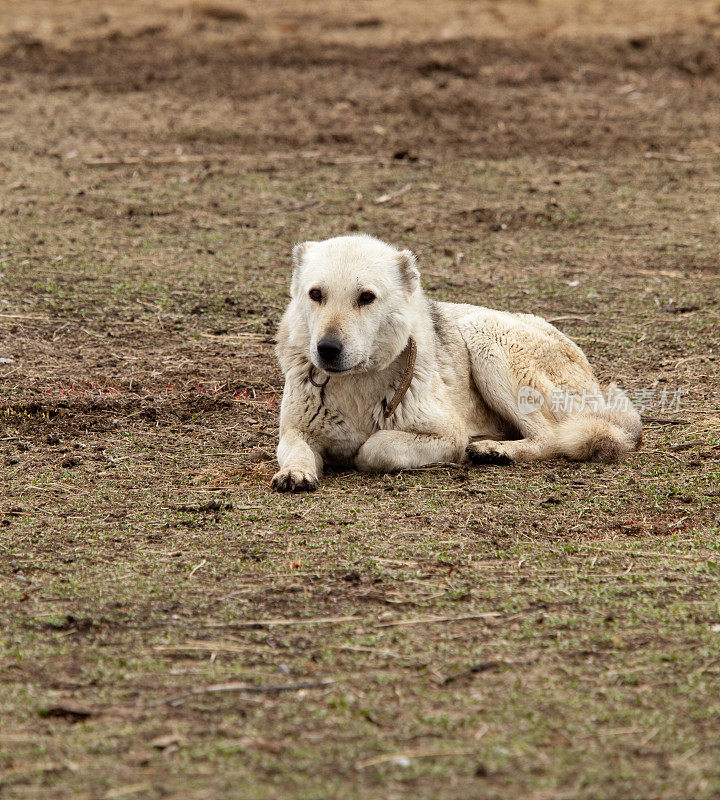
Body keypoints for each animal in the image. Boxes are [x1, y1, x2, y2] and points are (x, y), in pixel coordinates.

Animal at [272, 234, 640, 490]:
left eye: (366, 297)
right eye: (316, 294)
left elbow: (373, 448)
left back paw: (494, 450)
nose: (327, 349)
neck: (356, 382)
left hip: (483, 334)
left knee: (550, 438)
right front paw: (295, 472)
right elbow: (296, 448)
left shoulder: (447, 434)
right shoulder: (296, 430)